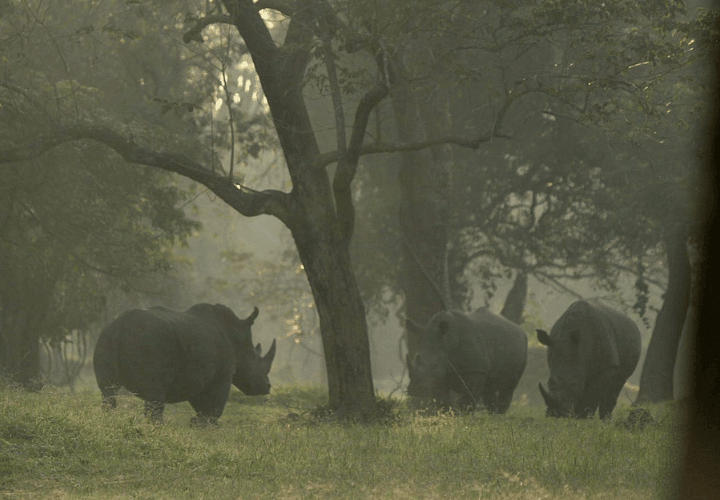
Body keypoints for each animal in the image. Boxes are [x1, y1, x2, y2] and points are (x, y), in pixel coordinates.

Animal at [93, 303, 276, 425]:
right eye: (253, 357)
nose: (267, 386)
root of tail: (121, 326)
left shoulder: (198, 375)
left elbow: (202, 405)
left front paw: (196, 423)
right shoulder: (222, 375)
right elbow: (215, 407)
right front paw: (207, 427)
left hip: (105, 336)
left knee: (108, 390)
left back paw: (109, 420)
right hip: (151, 341)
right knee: (154, 394)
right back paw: (157, 428)